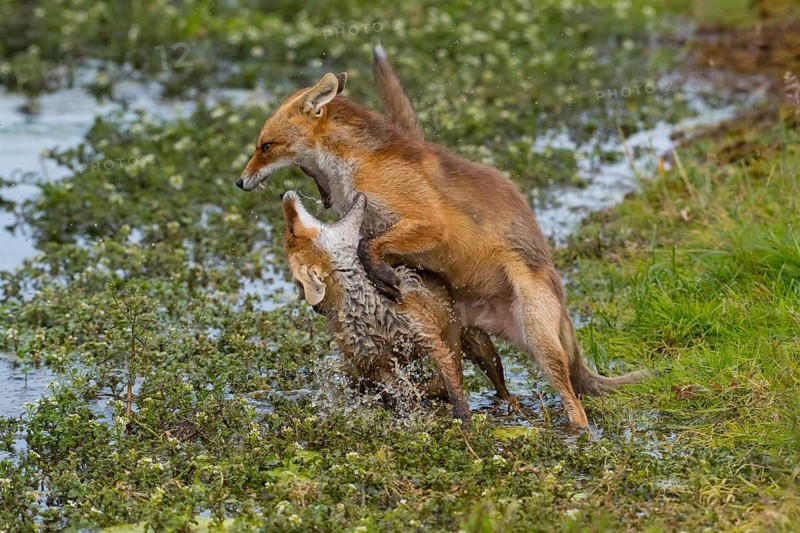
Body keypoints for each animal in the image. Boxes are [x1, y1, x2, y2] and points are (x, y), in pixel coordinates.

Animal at [281, 190, 511, 422]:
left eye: (290, 229)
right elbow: (400, 394)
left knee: (498, 386)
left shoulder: (429, 339)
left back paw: (512, 406)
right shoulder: (375, 364)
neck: (370, 312)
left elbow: (451, 391)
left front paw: (464, 423)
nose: (286, 193)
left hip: (481, 348)